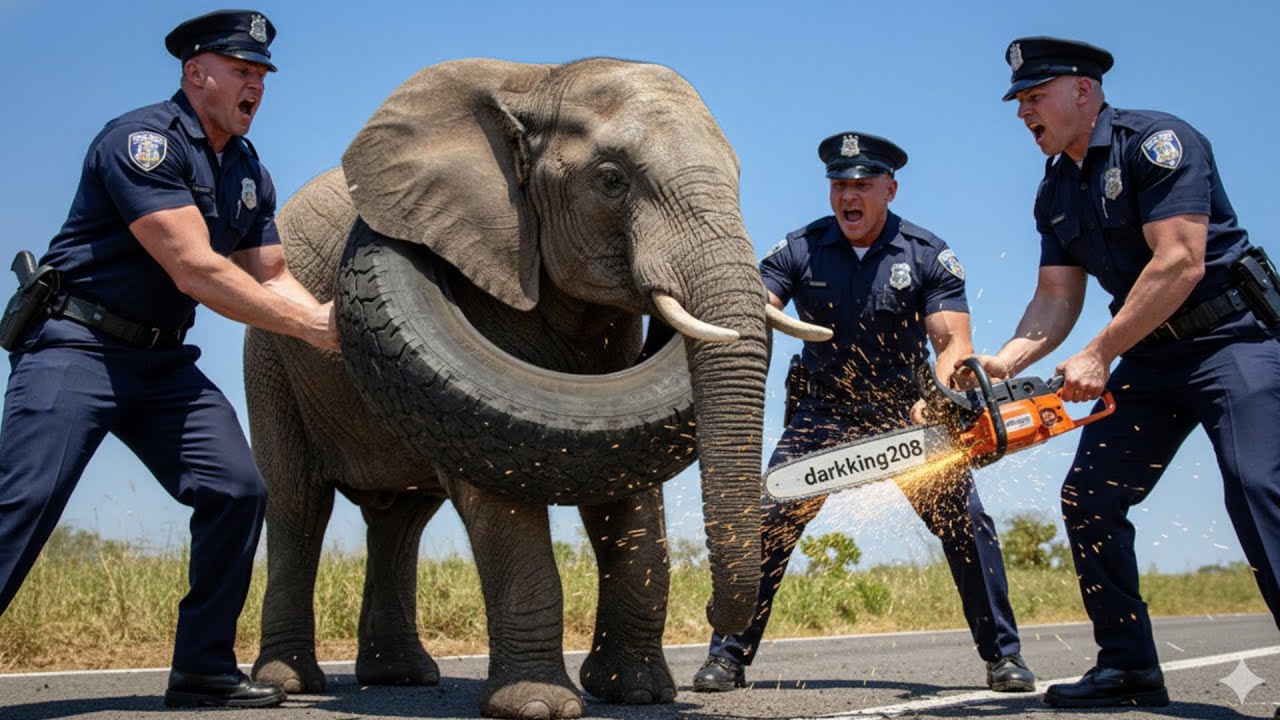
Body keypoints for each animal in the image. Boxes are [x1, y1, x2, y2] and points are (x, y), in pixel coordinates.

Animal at [245, 57, 829, 718]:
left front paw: (639, 693)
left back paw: (402, 677)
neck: (535, 81)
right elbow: (503, 488)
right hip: (269, 353)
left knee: (401, 519)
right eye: (611, 180)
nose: (710, 614)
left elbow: (626, 478)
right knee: (298, 503)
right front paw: (539, 707)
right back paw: (289, 683)